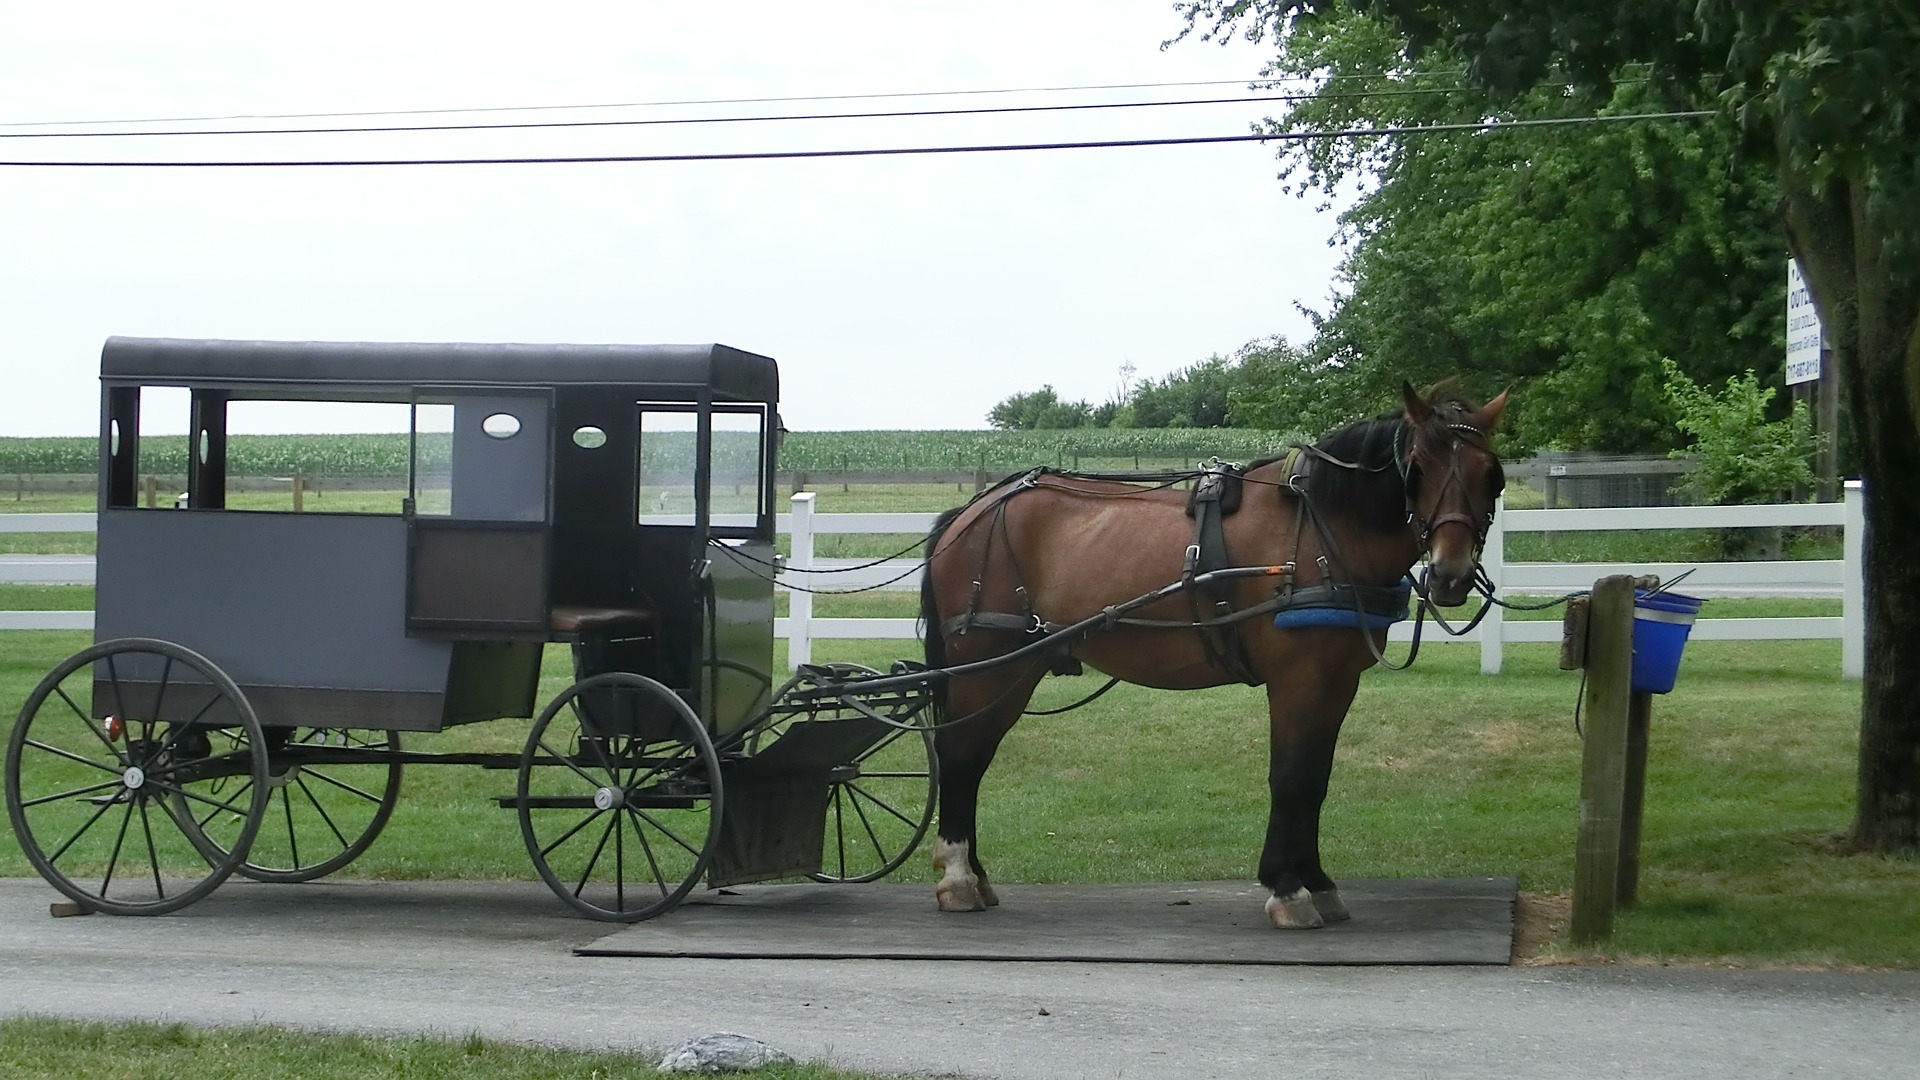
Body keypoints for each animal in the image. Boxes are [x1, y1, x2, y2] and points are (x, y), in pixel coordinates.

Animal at [918, 381, 1507, 928]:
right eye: (1416, 470)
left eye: (1491, 476)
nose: (1450, 575)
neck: (1322, 526)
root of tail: (969, 513)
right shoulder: (1298, 679)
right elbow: (1291, 777)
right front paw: (1288, 888)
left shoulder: (1337, 681)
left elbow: (1316, 780)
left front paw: (1316, 882)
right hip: (987, 666)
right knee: (959, 756)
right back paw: (958, 877)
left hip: (1013, 671)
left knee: (973, 757)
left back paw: (977, 874)